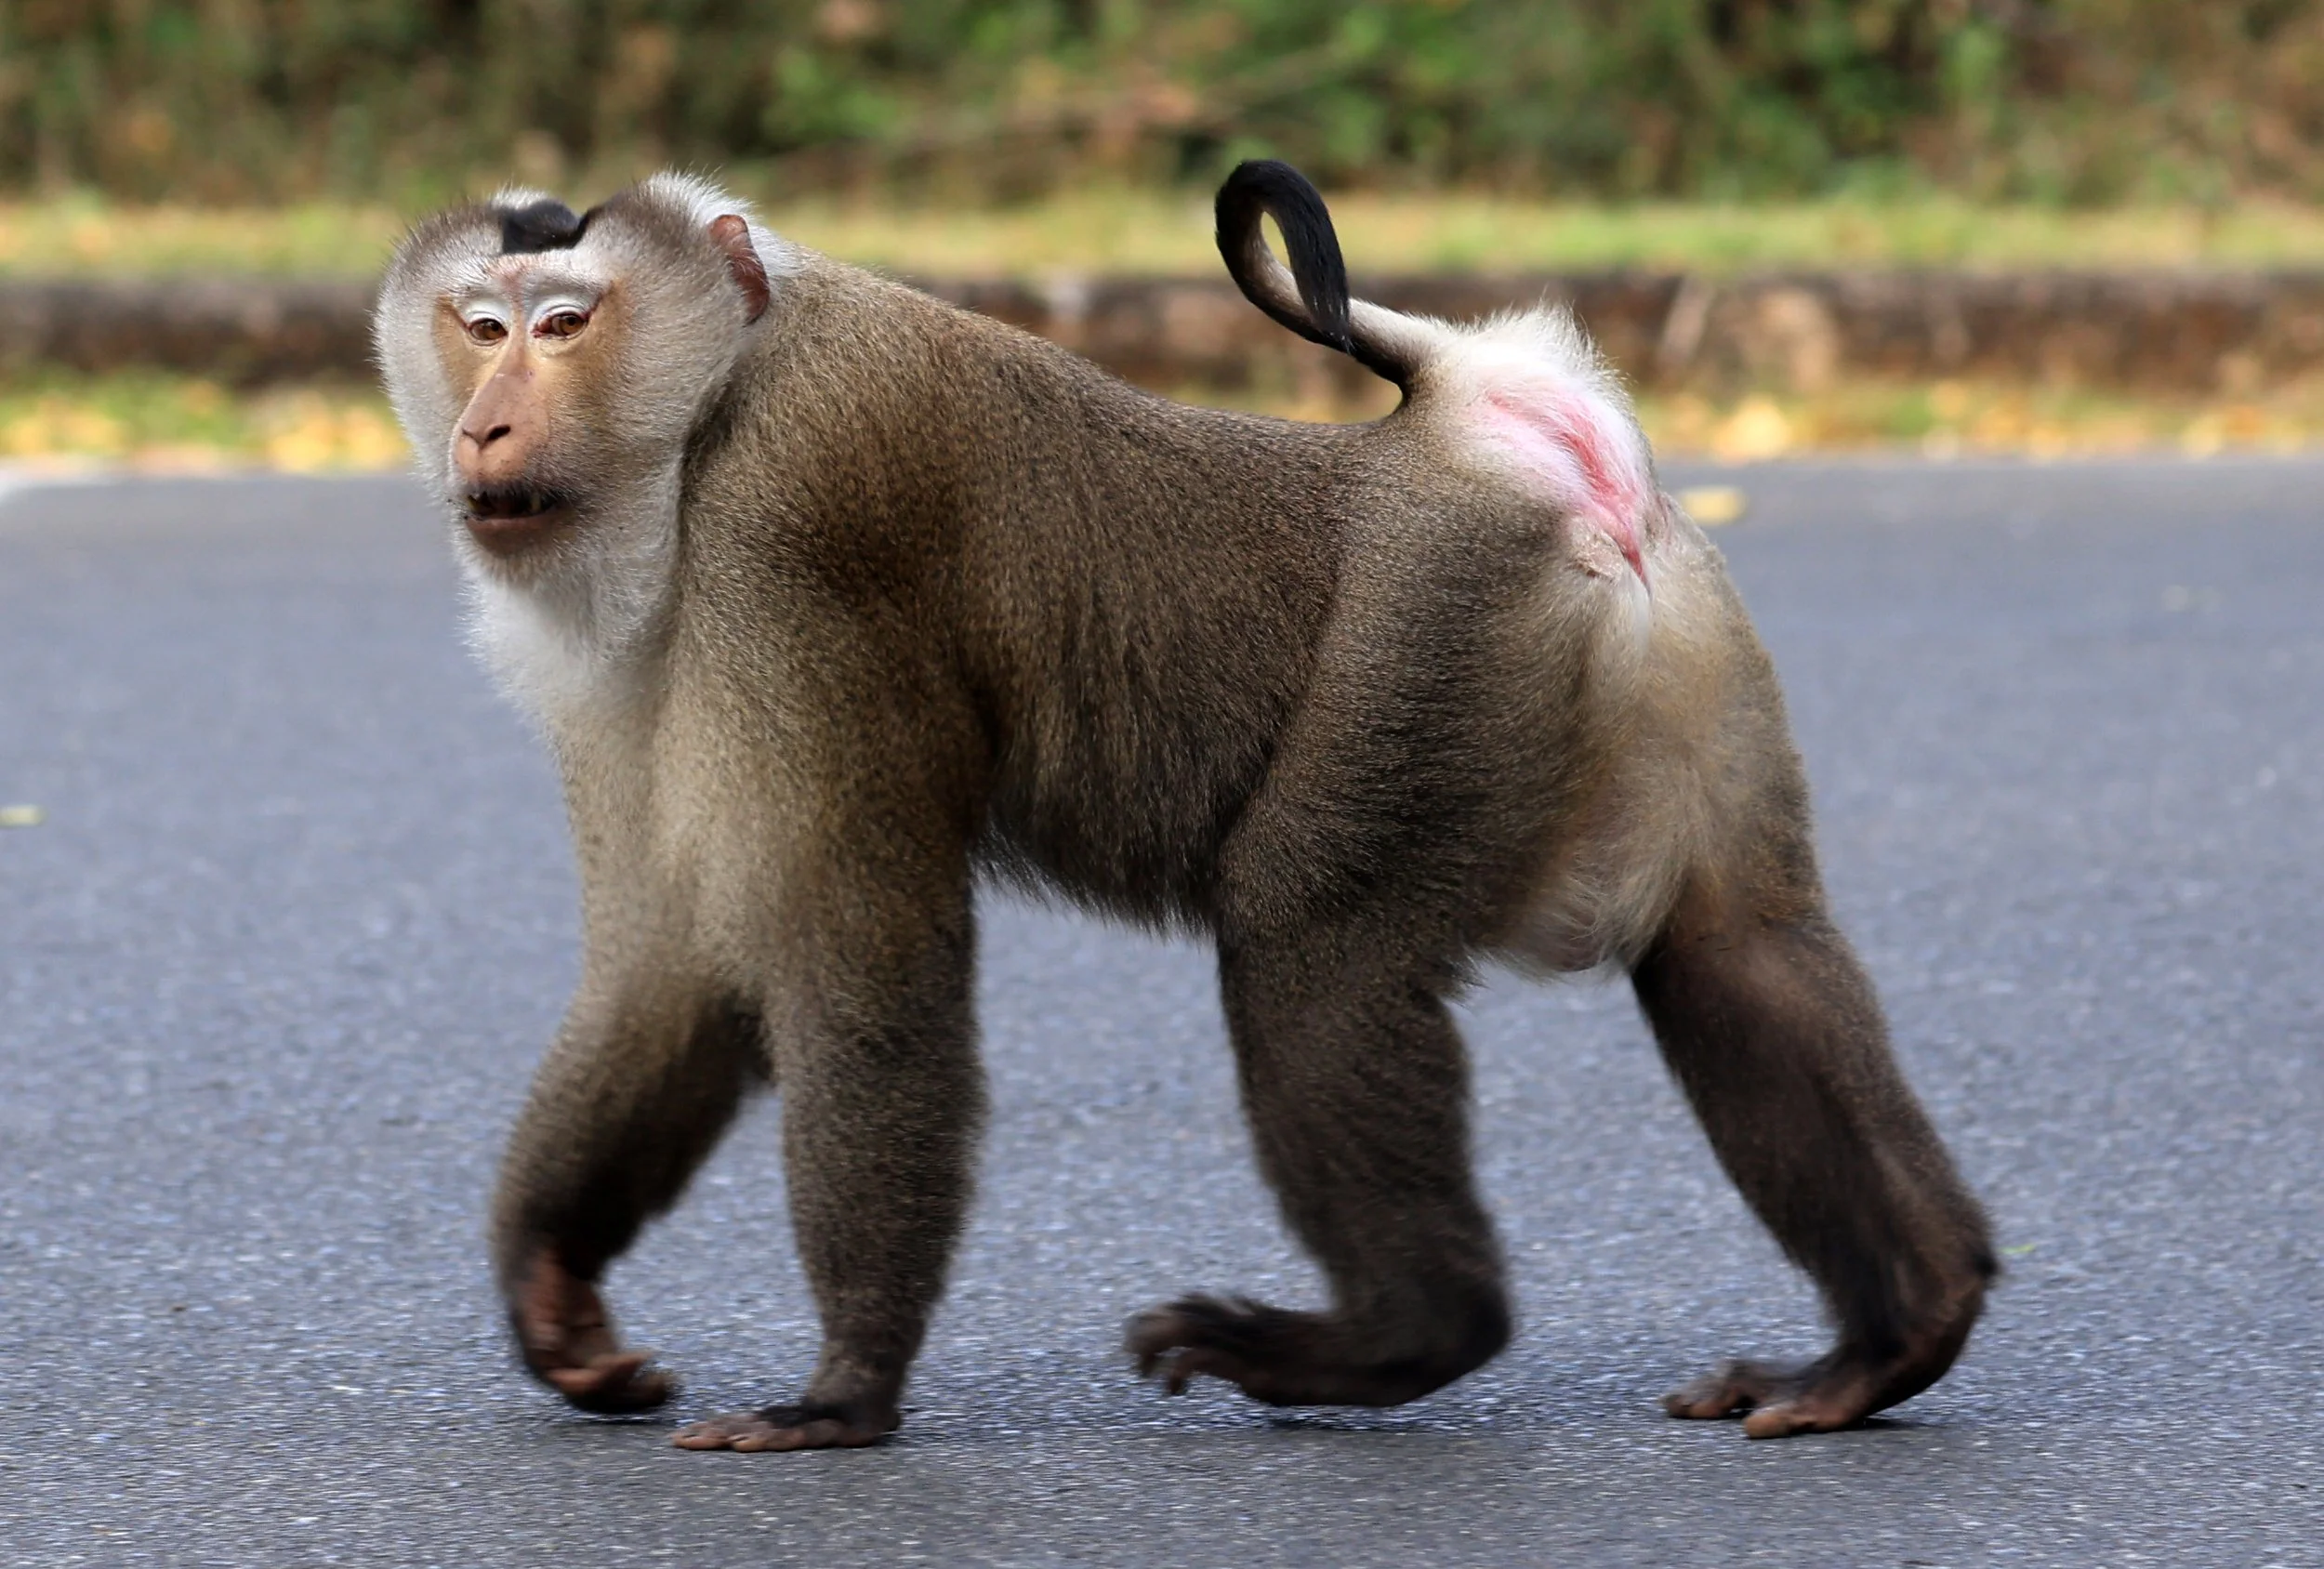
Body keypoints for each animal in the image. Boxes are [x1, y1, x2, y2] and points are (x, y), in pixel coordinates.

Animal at [373, 160, 1995, 1452]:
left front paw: (846, 1391)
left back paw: (1404, 1333)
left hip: (1440, 635)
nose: (488, 429)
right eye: (481, 327)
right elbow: (680, 964)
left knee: (1307, 945)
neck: (711, 409)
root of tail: (1463, 423)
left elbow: (864, 970)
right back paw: (1895, 1331)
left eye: (566, 325)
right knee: (1741, 947)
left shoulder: (798, 532)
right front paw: (553, 1282)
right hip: (1663, 644)